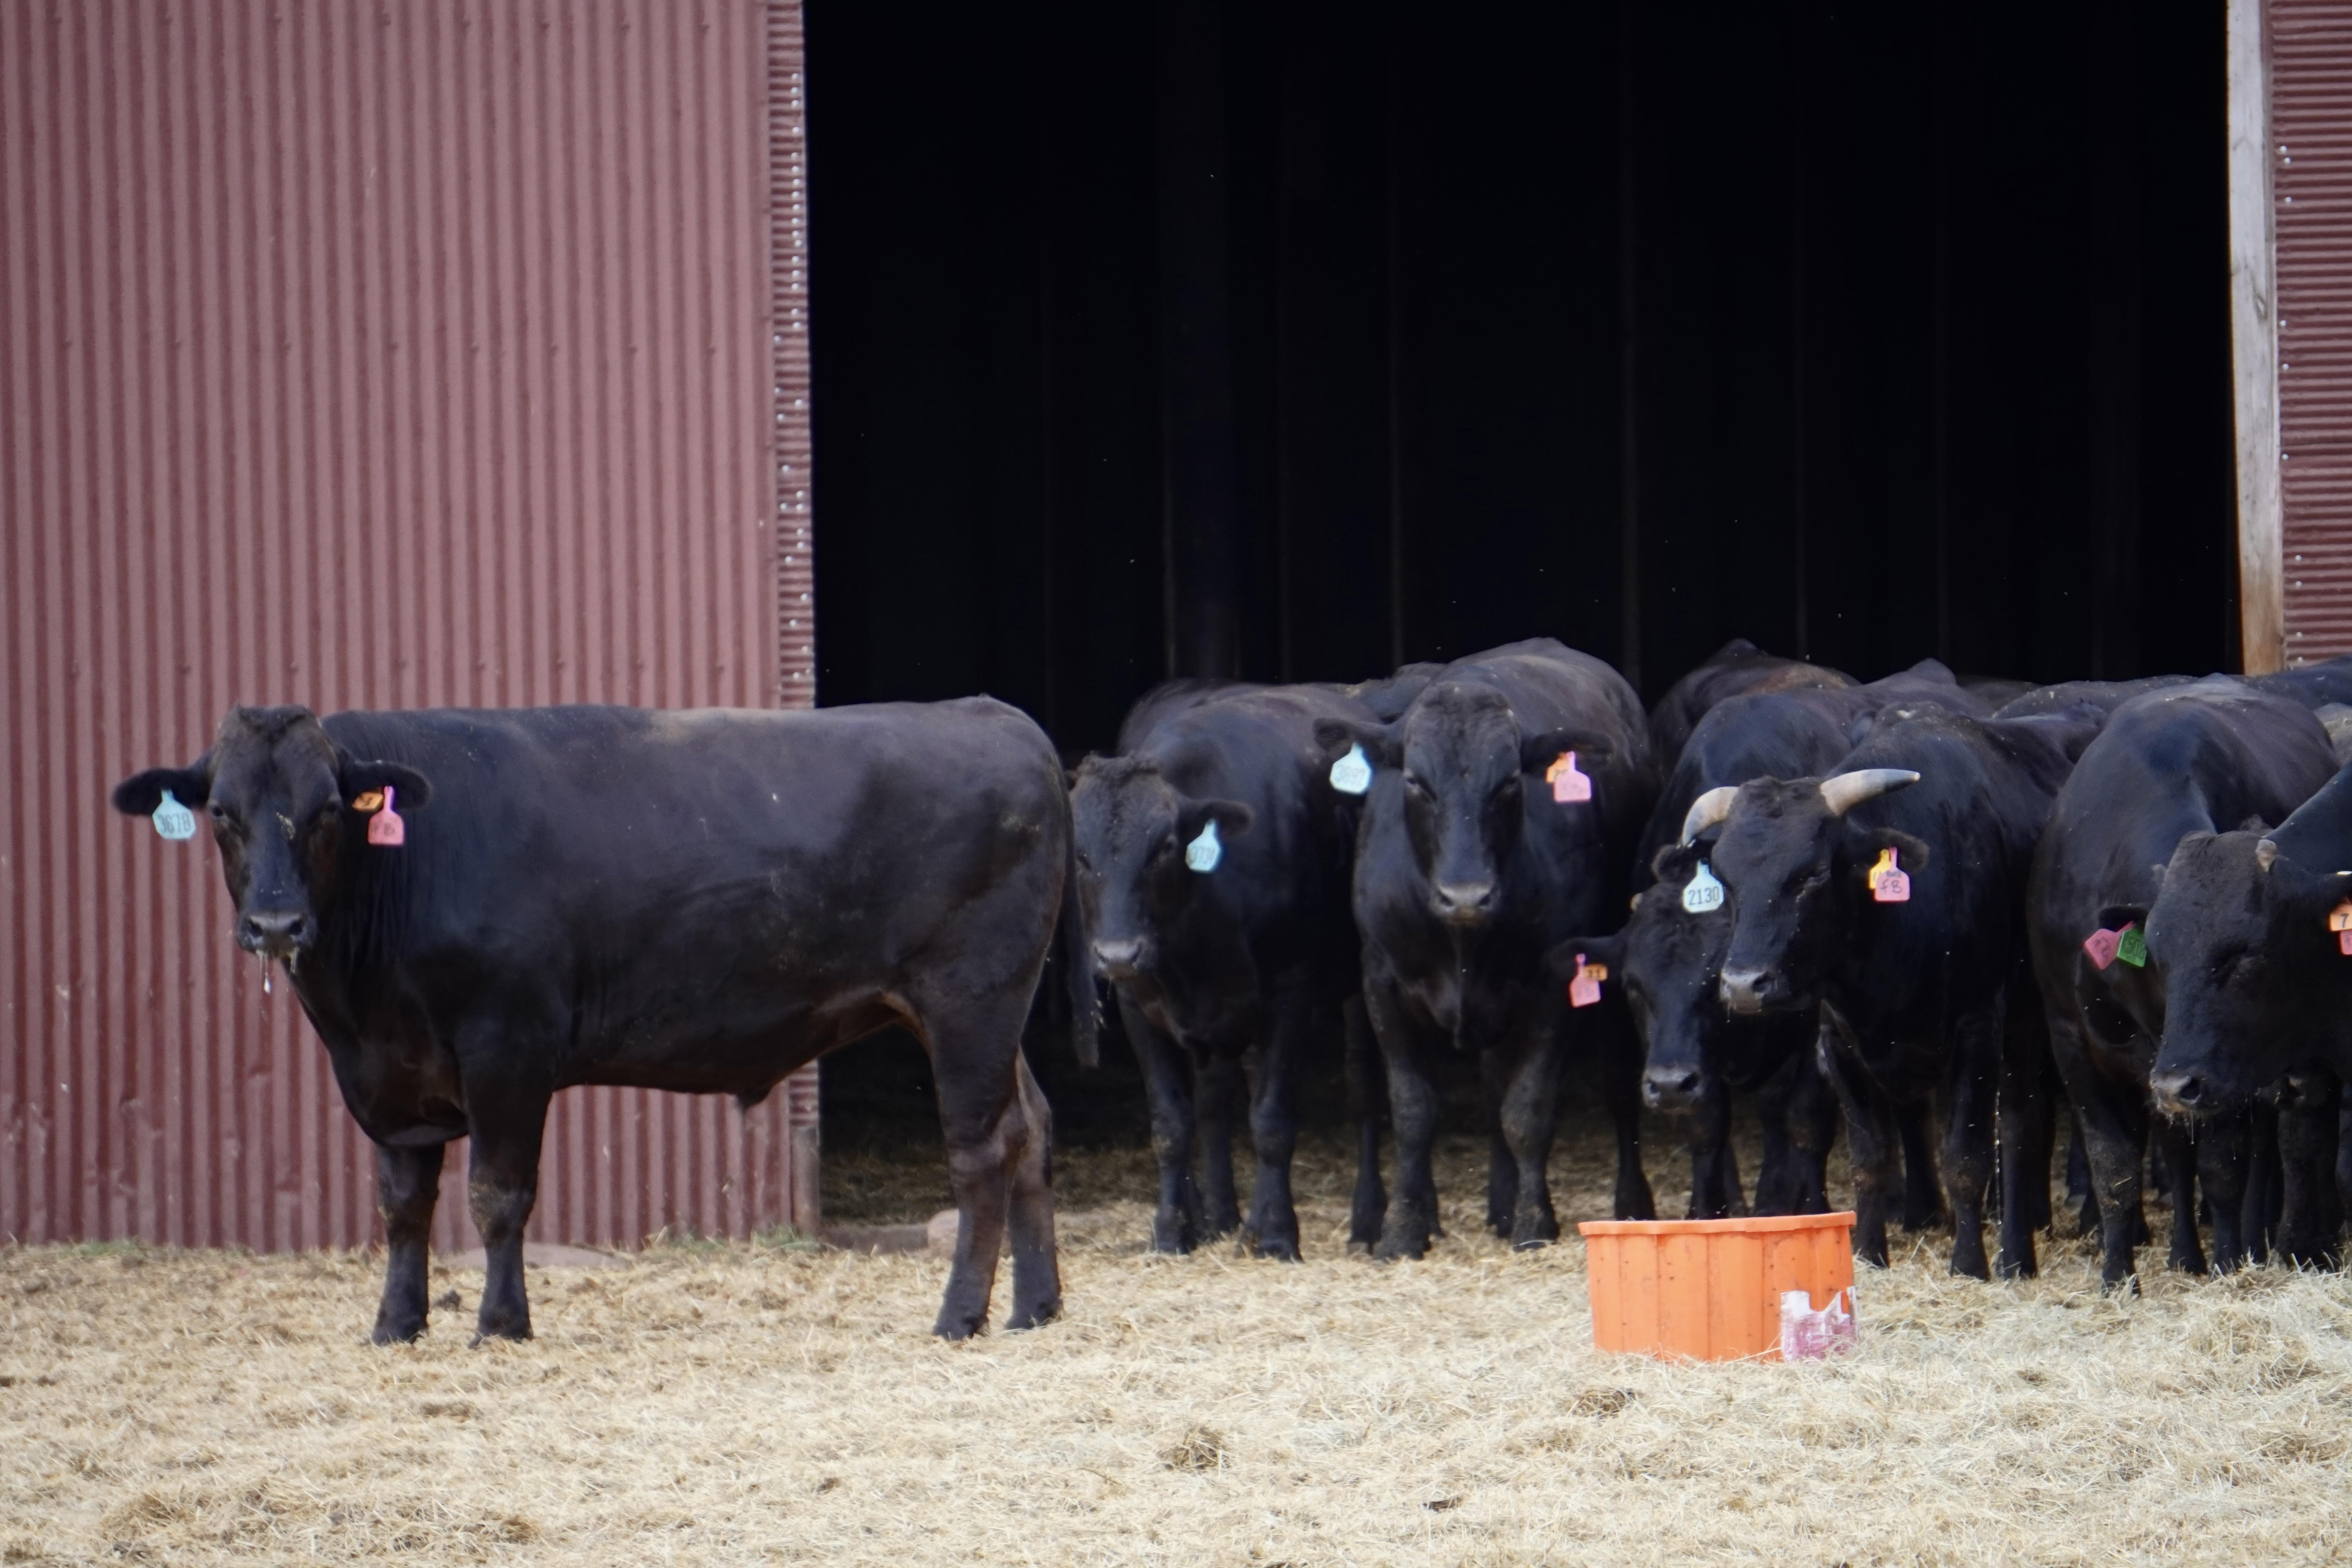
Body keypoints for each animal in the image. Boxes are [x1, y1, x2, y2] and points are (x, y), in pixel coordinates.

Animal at [112, 705, 1091, 1345]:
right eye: (223, 812)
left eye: (324, 811)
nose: (277, 923)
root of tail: (997, 716)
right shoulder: (388, 1077)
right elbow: (403, 1203)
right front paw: (396, 1324)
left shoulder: (510, 1042)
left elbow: (496, 1193)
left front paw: (501, 1325)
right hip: (985, 1014)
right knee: (1034, 1125)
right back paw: (1034, 1306)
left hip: (968, 999)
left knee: (981, 1147)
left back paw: (960, 1314)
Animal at [1073, 682, 1383, 1260]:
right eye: (1081, 855)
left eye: (1165, 847)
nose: (1118, 954)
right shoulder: (1139, 1004)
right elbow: (1172, 1123)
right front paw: (1172, 1231)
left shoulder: (1291, 992)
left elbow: (1272, 1119)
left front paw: (1280, 1236)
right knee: (1217, 1100)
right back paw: (1221, 1217)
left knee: (1362, 1091)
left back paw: (1365, 1221)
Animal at [1317, 630, 1665, 1260]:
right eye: (1415, 782)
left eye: (1507, 784)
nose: (1466, 895)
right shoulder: (1380, 979)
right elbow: (1413, 1108)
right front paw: (1403, 1228)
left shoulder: (1558, 981)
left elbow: (1527, 1109)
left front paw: (1535, 1221)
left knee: (1614, 1084)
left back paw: (1624, 1204)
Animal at [1684, 710, 2107, 1279]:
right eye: (1727, 881)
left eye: (1812, 874)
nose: (1744, 984)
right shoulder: (1838, 1041)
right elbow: (1871, 1159)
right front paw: (1867, 1253)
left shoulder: (1978, 1030)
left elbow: (1967, 1156)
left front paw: (1969, 1264)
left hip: (2022, 1025)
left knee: (2021, 1125)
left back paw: (2018, 1255)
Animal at [2023, 682, 2333, 1288]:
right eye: (2162, 957)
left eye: (2245, 958)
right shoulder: (2069, 1039)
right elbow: (2115, 1166)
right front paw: (2118, 1276)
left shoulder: (2212, 1071)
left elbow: (2221, 1167)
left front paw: (2230, 1260)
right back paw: (2184, 1253)